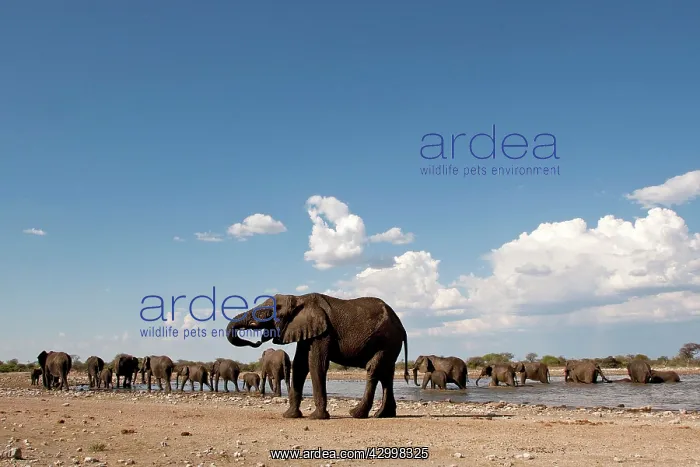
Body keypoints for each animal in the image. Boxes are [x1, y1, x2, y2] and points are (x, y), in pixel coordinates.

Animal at [226, 293, 410, 420]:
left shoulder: (323, 333)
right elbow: (299, 365)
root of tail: (401, 325)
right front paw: (290, 416)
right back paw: (383, 414)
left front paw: (317, 417)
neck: (298, 299)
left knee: (373, 369)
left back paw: (356, 413)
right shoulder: (305, 330)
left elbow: (315, 364)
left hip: (386, 340)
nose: (257, 341)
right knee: (386, 374)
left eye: (268, 312)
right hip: (390, 343)